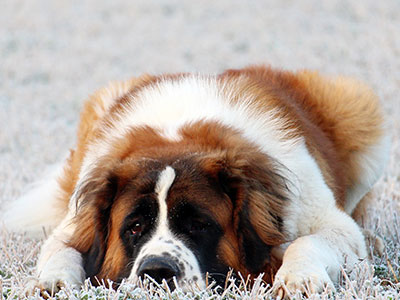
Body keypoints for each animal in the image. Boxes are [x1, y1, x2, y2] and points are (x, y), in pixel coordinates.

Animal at [1, 65, 390, 296]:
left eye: (199, 225)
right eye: (134, 226)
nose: (156, 271)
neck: (178, 136)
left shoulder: (325, 220)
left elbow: (309, 241)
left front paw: (298, 279)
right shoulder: (73, 225)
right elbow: (62, 249)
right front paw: (49, 282)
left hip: (359, 109)